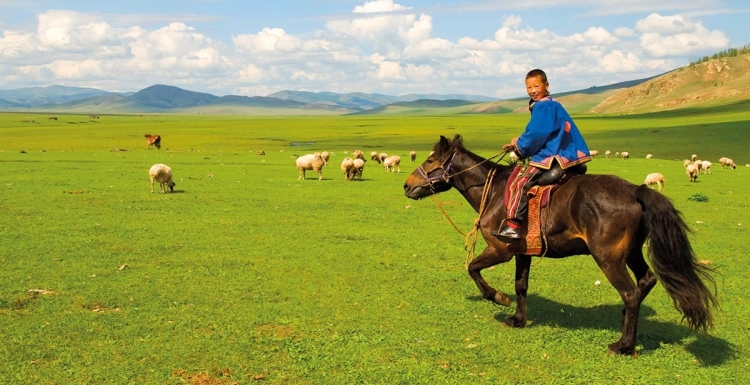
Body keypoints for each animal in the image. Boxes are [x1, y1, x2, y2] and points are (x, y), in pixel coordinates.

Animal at [402, 135, 720, 354]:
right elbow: (521, 285)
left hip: (608, 258)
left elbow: (473, 268)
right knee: (646, 281)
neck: (493, 192)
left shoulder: (501, 250)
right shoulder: (523, 252)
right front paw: (518, 319)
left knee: (630, 293)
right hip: (630, 253)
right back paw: (624, 325)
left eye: (430, 161)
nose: (406, 186)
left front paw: (498, 298)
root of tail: (634, 190)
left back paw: (624, 345)